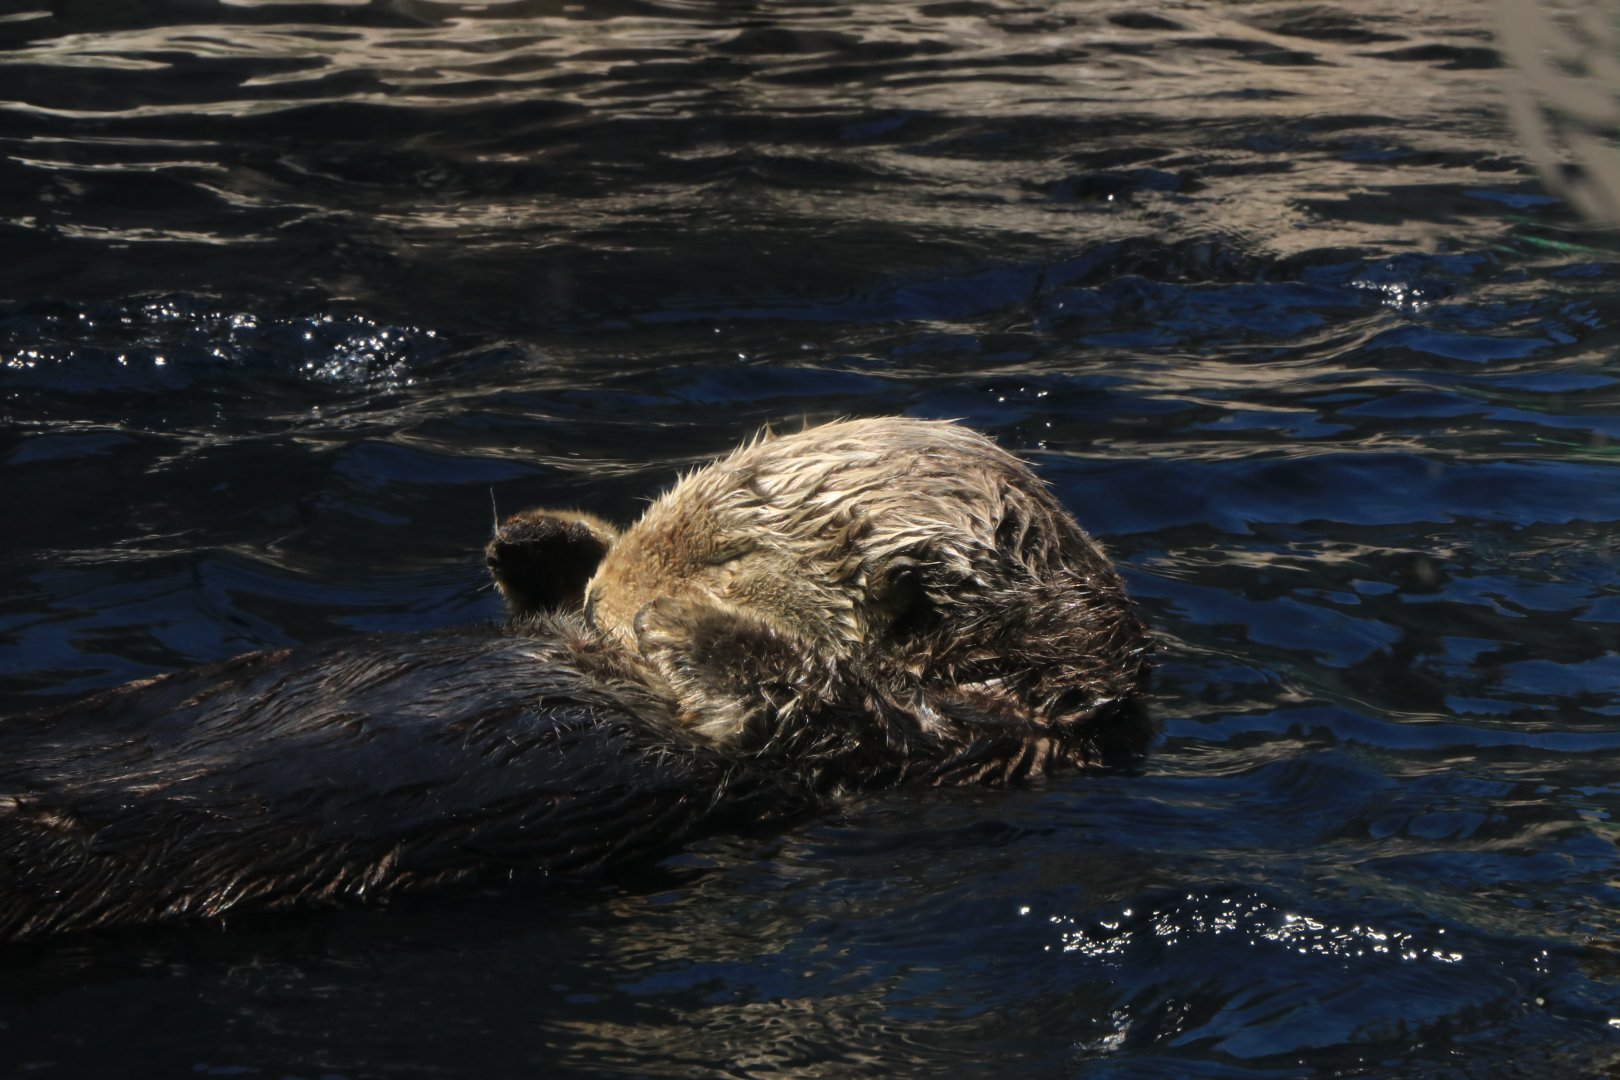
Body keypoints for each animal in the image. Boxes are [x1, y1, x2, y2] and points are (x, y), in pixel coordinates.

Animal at [0, 418, 1150, 941]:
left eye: (729, 555)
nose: (611, 603)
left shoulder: (955, 751)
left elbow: (819, 705)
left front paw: (684, 621)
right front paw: (544, 542)